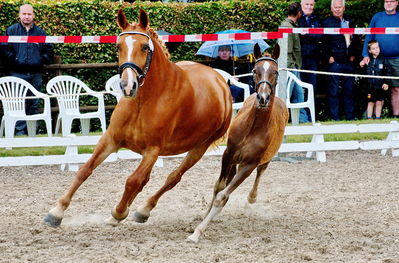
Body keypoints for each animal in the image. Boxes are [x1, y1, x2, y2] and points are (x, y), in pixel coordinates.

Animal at [43, 10, 231, 228]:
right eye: (118, 46)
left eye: (144, 47)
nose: (127, 86)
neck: (144, 101)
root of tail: (219, 80)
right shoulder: (110, 140)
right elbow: (85, 170)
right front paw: (56, 212)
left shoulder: (152, 150)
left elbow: (132, 181)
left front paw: (118, 213)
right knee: (145, 180)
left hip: (199, 148)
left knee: (172, 178)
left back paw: (142, 210)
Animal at [189, 43, 290, 243]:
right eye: (255, 70)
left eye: (275, 72)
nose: (263, 98)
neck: (253, 128)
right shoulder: (228, 155)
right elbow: (218, 187)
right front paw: (202, 219)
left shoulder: (249, 164)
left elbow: (223, 196)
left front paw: (198, 232)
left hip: (264, 160)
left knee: (260, 173)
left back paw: (252, 197)